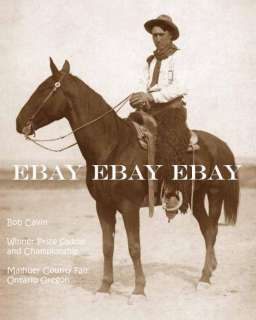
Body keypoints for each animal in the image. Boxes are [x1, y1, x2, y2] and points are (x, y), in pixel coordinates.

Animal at [16, 59, 240, 300]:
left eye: (45, 88)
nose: (19, 122)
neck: (113, 146)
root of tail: (220, 144)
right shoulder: (103, 206)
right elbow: (108, 246)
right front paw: (104, 287)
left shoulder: (129, 207)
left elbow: (134, 247)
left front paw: (139, 289)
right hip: (196, 197)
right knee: (206, 230)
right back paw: (210, 269)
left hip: (214, 194)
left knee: (212, 230)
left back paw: (205, 278)